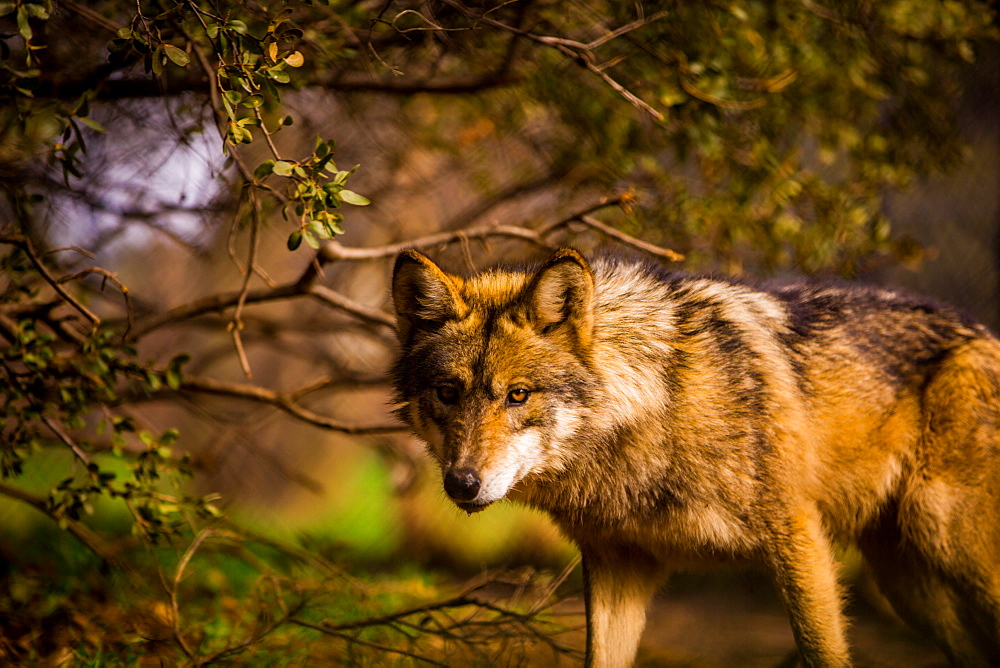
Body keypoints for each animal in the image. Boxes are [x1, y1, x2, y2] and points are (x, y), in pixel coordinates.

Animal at [388, 248, 1000, 664]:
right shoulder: (618, 567)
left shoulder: (798, 541)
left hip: (946, 540)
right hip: (909, 585)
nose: (462, 483)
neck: (656, 406)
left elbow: (823, 652)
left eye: (517, 395)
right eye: (448, 392)